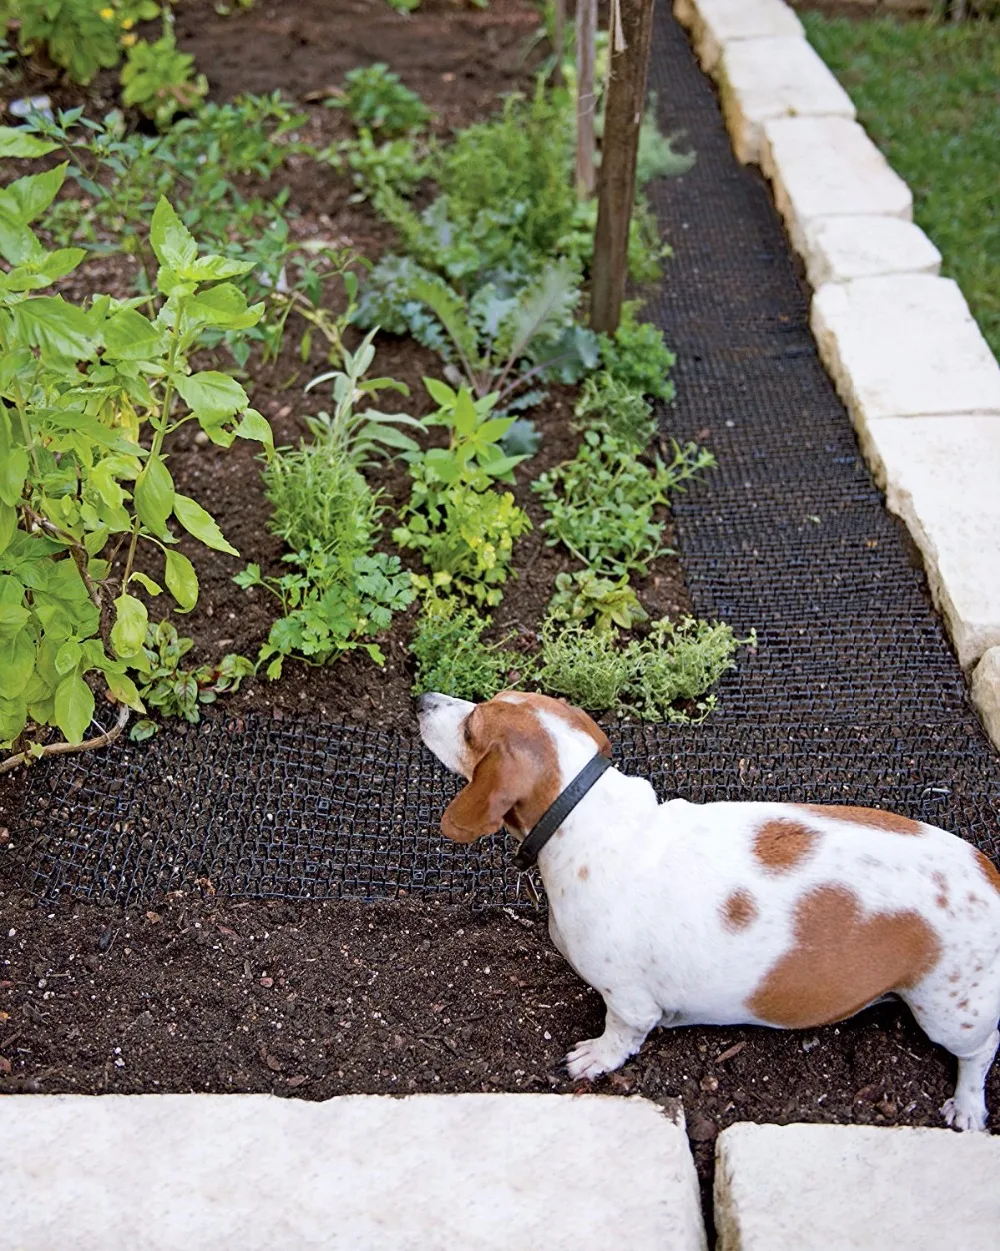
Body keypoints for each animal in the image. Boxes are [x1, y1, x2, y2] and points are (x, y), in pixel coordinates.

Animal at [418, 690, 1000, 1130]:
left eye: (471, 726)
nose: (423, 698)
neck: (584, 814)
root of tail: (990, 876)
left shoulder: (629, 1003)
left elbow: (619, 1036)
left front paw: (596, 1059)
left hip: (950, 1015)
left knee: (981, 1050)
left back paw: (967, 1105)